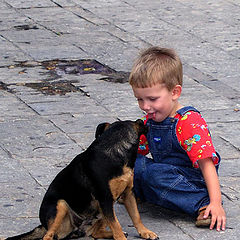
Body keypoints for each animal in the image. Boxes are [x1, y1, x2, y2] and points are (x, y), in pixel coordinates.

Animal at [6, 120, 158, 240]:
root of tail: (43, 226)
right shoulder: (105, 198)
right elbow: (116, 225)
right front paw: (121, 237)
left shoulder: (127, 194)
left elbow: (135, 216)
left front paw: (145, 232)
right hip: (61, 205)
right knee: (48, 236)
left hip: (101, 211)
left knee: (95, 233)